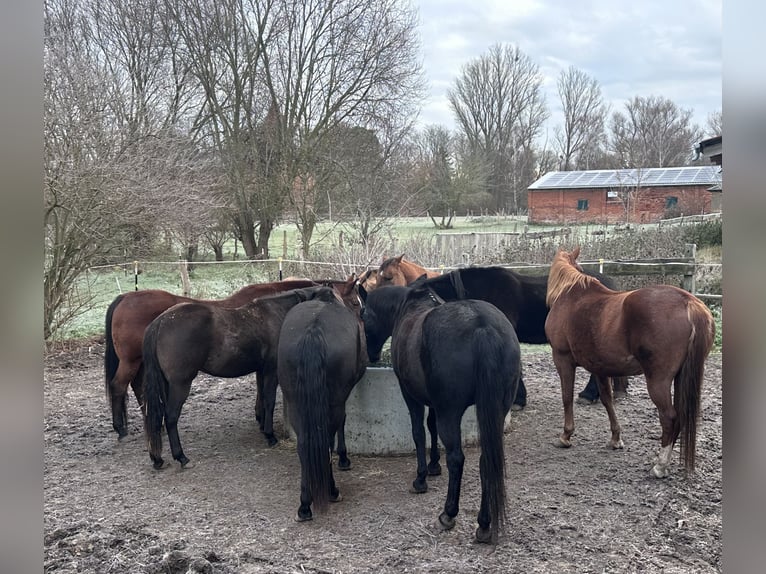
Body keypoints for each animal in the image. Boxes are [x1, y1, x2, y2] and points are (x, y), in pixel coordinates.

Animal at [104, 278, 321, 439]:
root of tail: (125, 297)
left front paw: (260, 419)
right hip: (131, 361)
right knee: (119, 386)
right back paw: (121, 429)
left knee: (139, 388)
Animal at [142, 281, 360, 470]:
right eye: (353, 302)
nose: (356, 326)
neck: (279, 315)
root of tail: (161, 321)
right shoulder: (271, 371)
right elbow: (269, 400)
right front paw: (270, 436)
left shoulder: (262, 371)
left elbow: (262, 399)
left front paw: (263, 428)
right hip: (180, 384)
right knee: (171, 417)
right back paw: (181, 456)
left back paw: (157, 458)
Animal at [277, 285, 368, 522]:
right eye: (359, 306)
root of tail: (313, 332)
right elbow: (342, 424)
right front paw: (344, 458)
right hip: (333, 402)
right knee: (325, 440)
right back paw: (331, 490)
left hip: (296, 404)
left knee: (304, 446)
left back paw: (305, 504)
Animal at [360, 283, 521, 544]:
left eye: (363, 315)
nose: (370, 354)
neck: (408, 306)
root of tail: (482, 326)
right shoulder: (434, 402)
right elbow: (431, 425)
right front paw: (434, 464)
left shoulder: (410, 394)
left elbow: (419, 432)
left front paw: (421, 477)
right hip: (496, 409)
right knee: (486, 460)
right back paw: (484, 523)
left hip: (451, 412)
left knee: (456, 458)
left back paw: (448, 513)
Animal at [544, 247, 715, 478]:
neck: (570, 295)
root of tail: (689, 303)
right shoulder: (599, 367)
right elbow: (607, 400)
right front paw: (616, 439)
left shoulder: (562, 360)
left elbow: (566, 397)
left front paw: (565, 436)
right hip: (682, 378)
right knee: (679, 416)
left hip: (658, 381)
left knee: (669, 417)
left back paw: (660, 465)